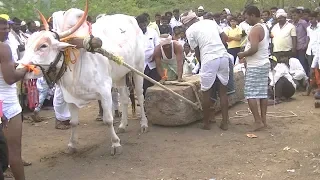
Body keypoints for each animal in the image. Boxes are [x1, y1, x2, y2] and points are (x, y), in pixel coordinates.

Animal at [17, 1, 146, 153]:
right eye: (26, 45)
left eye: (43, 46)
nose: (20, 69)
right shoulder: (70, 97)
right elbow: (73, 122)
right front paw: (72, 145)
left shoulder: (104, 91)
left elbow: (108, 119)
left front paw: (115, 143)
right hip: (120, 74)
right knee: (125, 99)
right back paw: (122, 125)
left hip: (138, 68)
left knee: (140, 96)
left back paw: (144, 124)